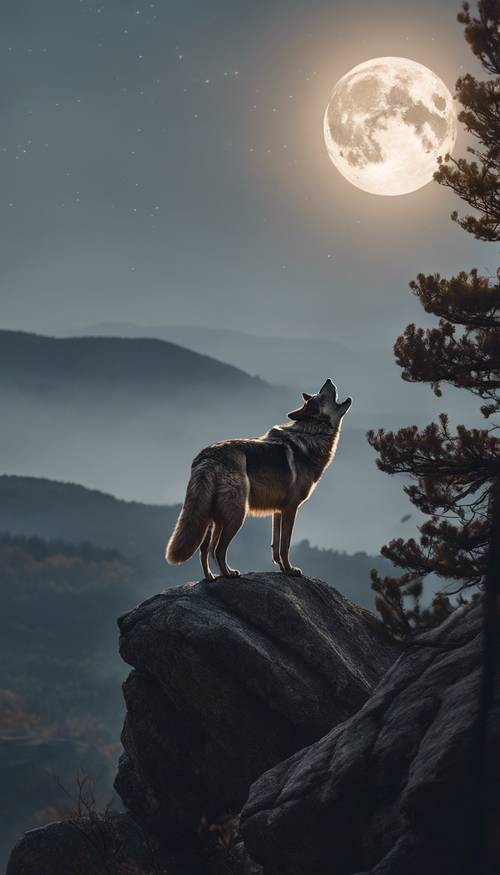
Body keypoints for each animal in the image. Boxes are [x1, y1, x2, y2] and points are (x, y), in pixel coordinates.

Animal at [165, 378, 352, 580]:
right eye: (322, 394)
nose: (328, 380)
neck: (312, 435)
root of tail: (207, 456)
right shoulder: (290, 509)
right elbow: (285, 546)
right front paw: (290, 570)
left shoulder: (278, 512)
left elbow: (276, 548)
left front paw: (282, 568)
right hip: (237, 515)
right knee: (218, 549)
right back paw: (228, 574)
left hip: (211, 518)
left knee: (205, 549)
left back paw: (211, 577)